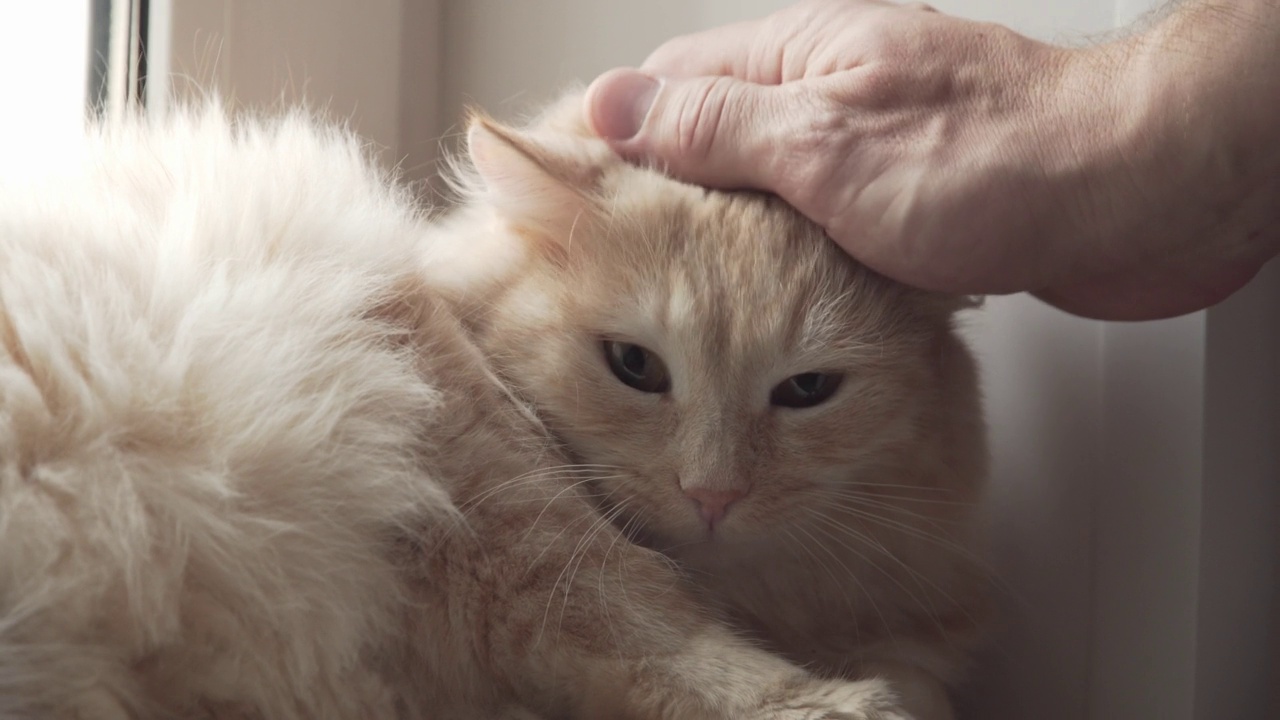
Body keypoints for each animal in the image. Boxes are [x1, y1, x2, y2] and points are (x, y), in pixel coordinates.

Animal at [0, 90, 988, 717]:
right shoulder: (529, 539)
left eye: (807, 391)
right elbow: (673, 640)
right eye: (635, 365)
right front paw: (840, 703)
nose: (713, 494)